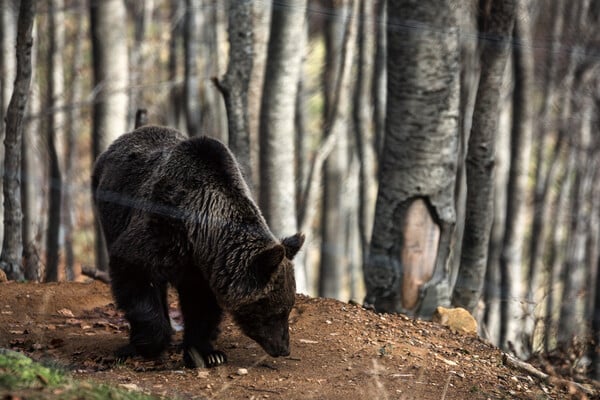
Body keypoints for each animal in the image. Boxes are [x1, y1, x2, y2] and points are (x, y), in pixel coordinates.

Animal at [92, 126, 304, 368]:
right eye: (275, 310)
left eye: (288, 308)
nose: (283, 348)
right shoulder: (160, 232)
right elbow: (134, 273)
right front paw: (149, 344)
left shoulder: (206, 268)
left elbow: (201, 305)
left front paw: (208, 354)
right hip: (109, 213)